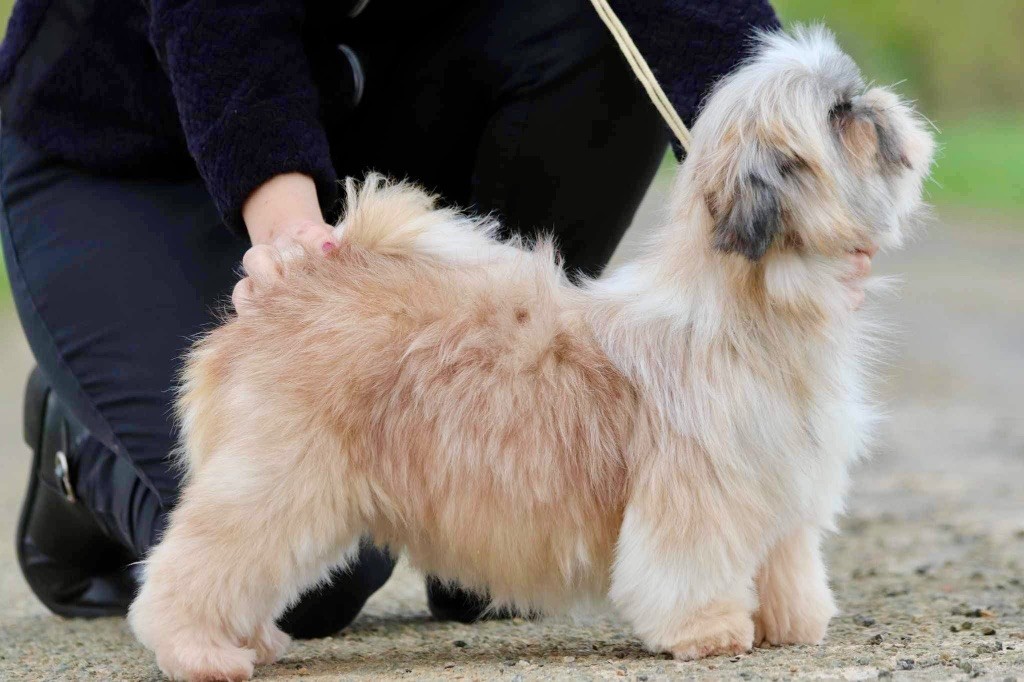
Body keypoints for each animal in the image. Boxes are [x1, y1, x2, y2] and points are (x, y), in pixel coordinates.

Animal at [128, 27, 937, 679]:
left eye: (851, 95)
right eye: (838, 116)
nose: (873, 102)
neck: (751, 309)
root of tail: (293, 291)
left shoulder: (782, 490)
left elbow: (787, 566)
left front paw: (792, 623)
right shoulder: (697, 495)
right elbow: (689, 569)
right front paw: (709, 632)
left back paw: (253, 641)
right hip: (276, 486)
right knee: (190, 570)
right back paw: (201, 653)